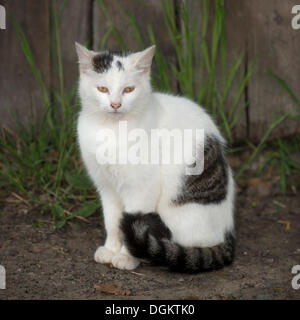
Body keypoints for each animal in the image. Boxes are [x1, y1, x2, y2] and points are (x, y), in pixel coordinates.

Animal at [76, 42, 236, 272]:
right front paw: (110, 248)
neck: (111, 129)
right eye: (103, 89)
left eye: (128, 89)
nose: (115, 104)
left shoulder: (142, 188)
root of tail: (227, 233)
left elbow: (131, 224)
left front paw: (126, 256)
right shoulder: (106, 186)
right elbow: (112, 221)